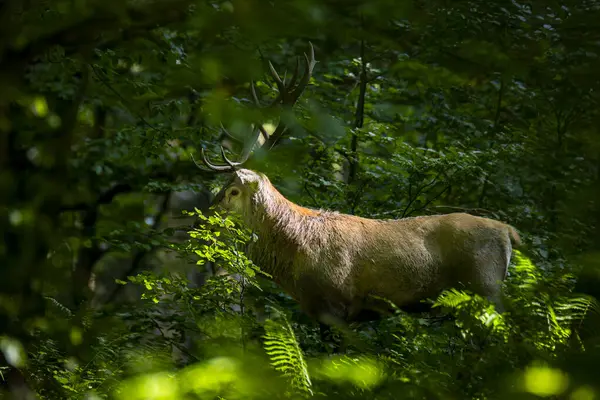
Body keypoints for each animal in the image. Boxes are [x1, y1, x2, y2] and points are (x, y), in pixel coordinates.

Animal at [193, 43, 520, 324]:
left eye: (233, 190)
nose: (202, 219)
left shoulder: (337, 302)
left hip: (486, 286)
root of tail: (508, 232)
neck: (294, 255)